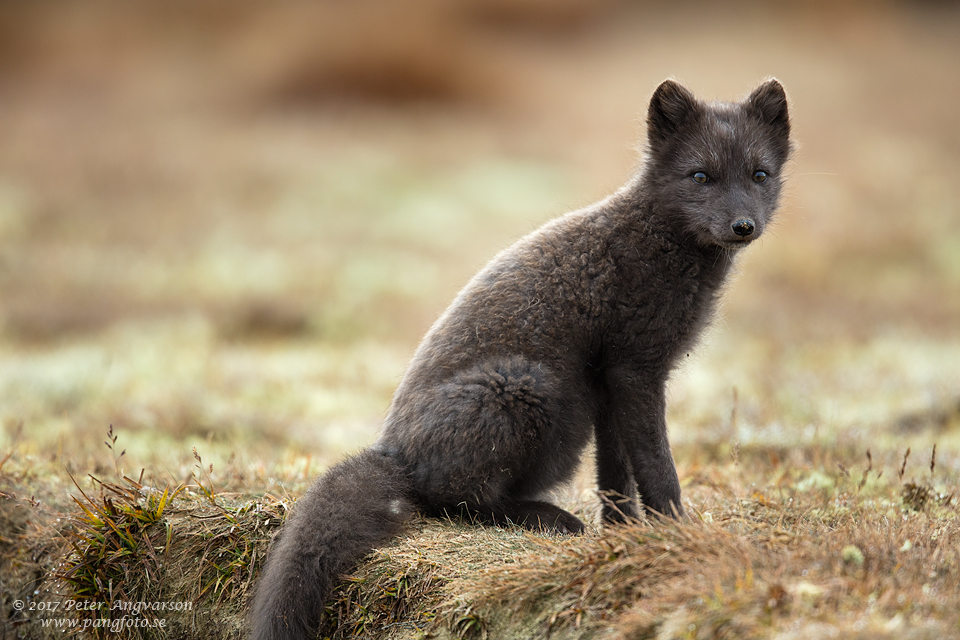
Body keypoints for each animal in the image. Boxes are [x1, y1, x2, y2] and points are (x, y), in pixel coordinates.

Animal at [251, 80, 792, 640]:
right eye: (700, 176)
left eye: (759, 174)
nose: (743, 225)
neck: (657, 242)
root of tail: (393, 451)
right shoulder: (636, 370)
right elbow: (657, 468)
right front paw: (676, 535)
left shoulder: (611, 384)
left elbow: (615, 476)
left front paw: (623, 539)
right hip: (534, 392)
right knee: (453, 502)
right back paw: (546, 519)